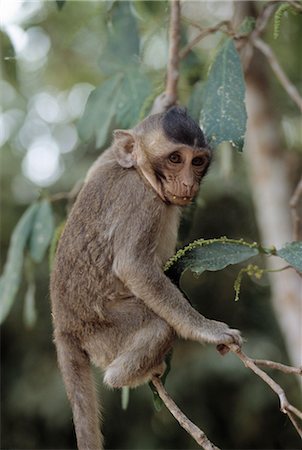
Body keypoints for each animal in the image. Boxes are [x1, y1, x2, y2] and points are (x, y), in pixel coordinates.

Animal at [50, 106, 243, 450]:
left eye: (198, 161)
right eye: (176, 159)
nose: (188, 182)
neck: (141, 175)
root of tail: (64, 328)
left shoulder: (107, 163)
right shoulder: (142, 202)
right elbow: (133, 266)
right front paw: (209, 331)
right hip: (103, 333)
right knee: (159, 327)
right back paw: (124, 376)